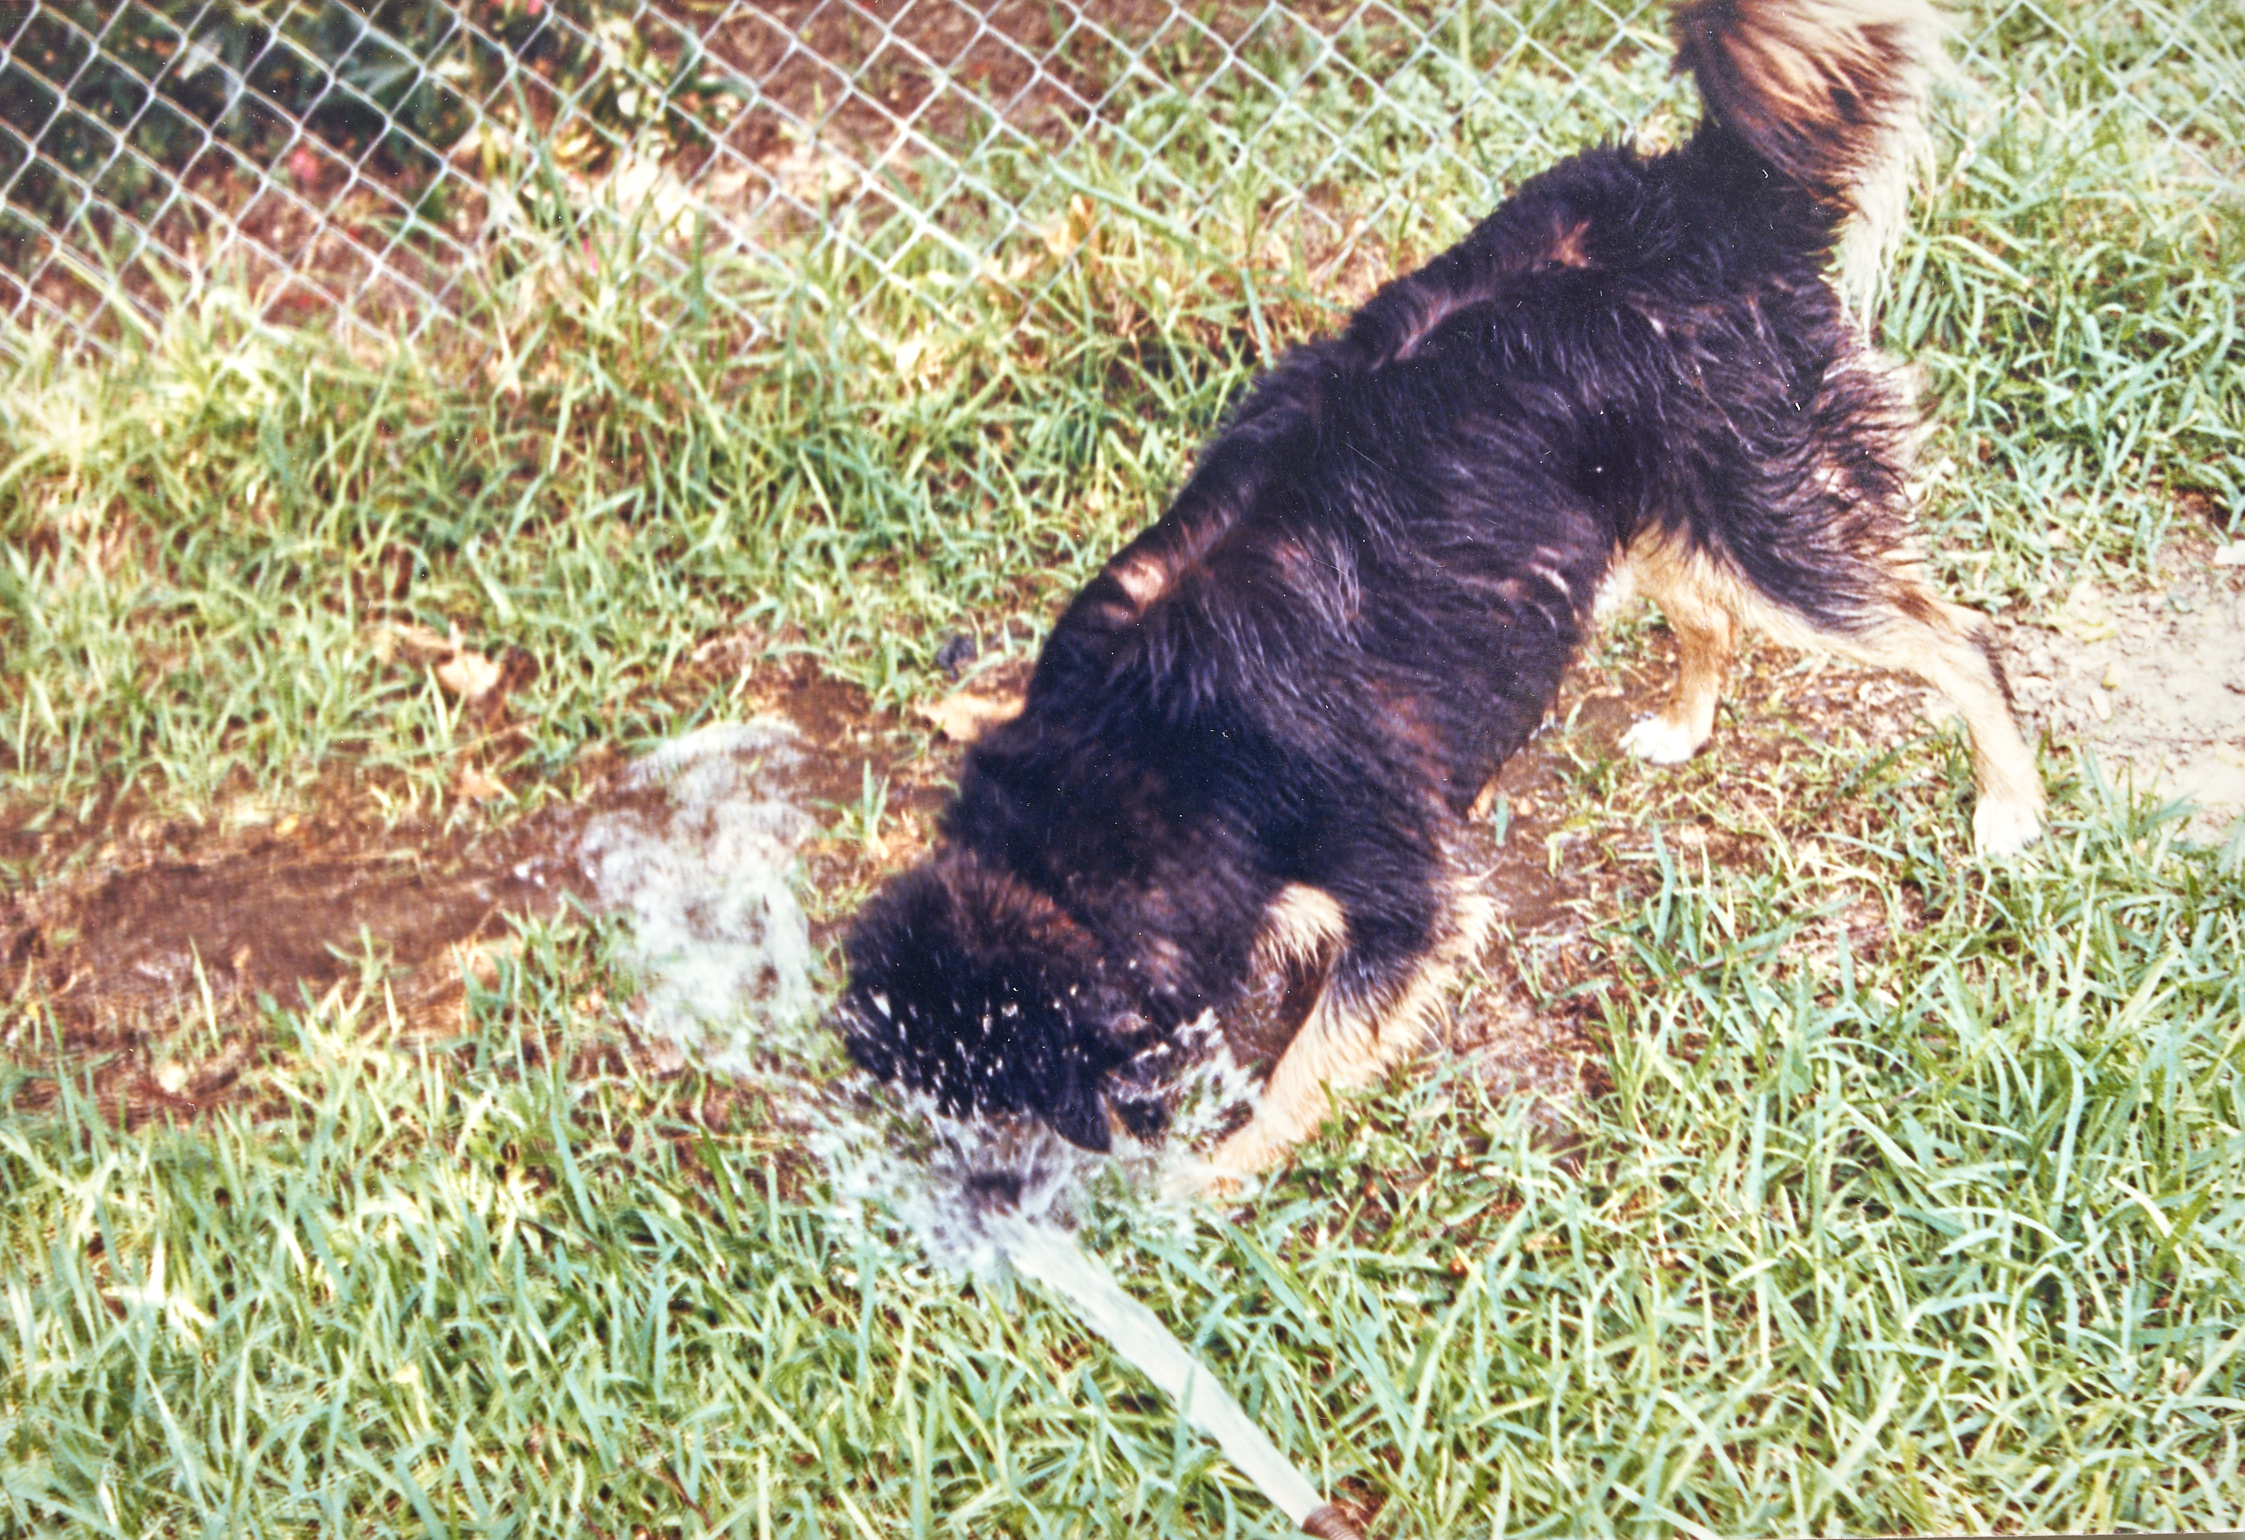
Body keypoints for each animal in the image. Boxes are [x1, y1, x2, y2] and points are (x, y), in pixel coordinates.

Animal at [837, 0, 2045, 1180]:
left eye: (1000, 1105)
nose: (981, 1199)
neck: (1139, 757)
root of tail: (1701, 196)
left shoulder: (1403, 894)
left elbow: (1302, 1070)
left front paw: (1212, 1185)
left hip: (1762, 515)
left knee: (1955, 637)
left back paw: (2007, 803)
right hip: (1648, 505)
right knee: (1713, 617)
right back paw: (1683, 725)